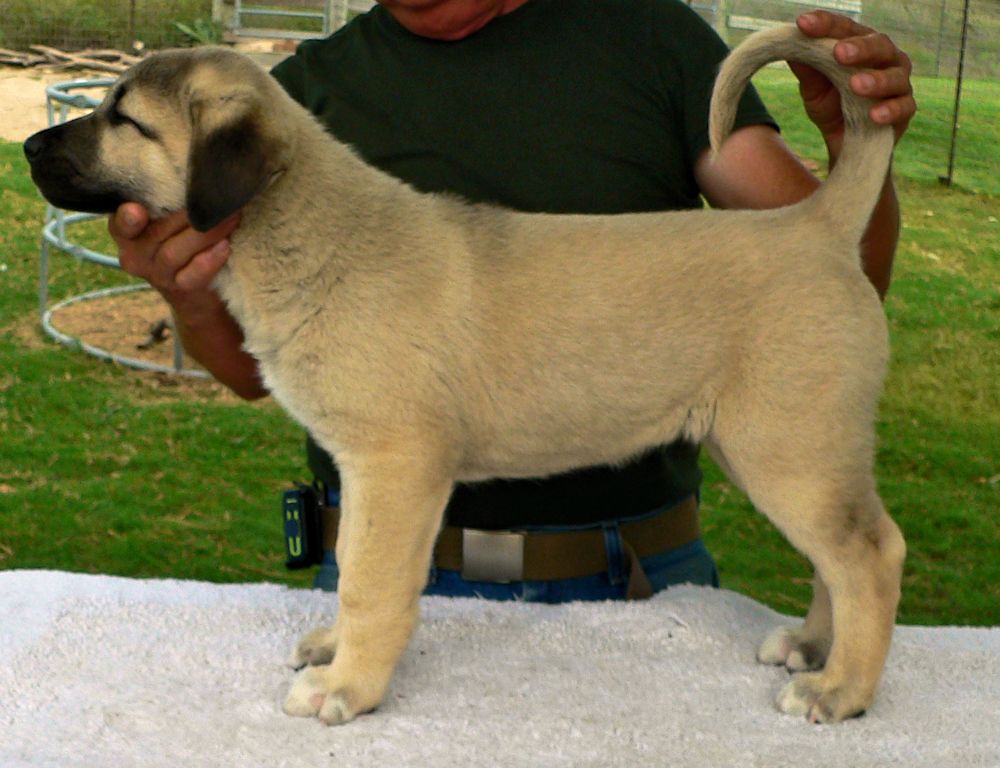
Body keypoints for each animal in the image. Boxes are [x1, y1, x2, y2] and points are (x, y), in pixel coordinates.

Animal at [27, 25, 908, 728]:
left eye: (125, 120)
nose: (31, 147)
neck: (306, 232)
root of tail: (815, 225)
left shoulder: (396, 466)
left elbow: (370, 582)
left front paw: (347, 688)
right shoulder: (364, 472)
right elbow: (352, 566)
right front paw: (336, 654)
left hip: (788, 449)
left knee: (869, 554)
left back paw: (840, 691)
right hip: (786, 450)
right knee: (837, 556)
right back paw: (814, 648)